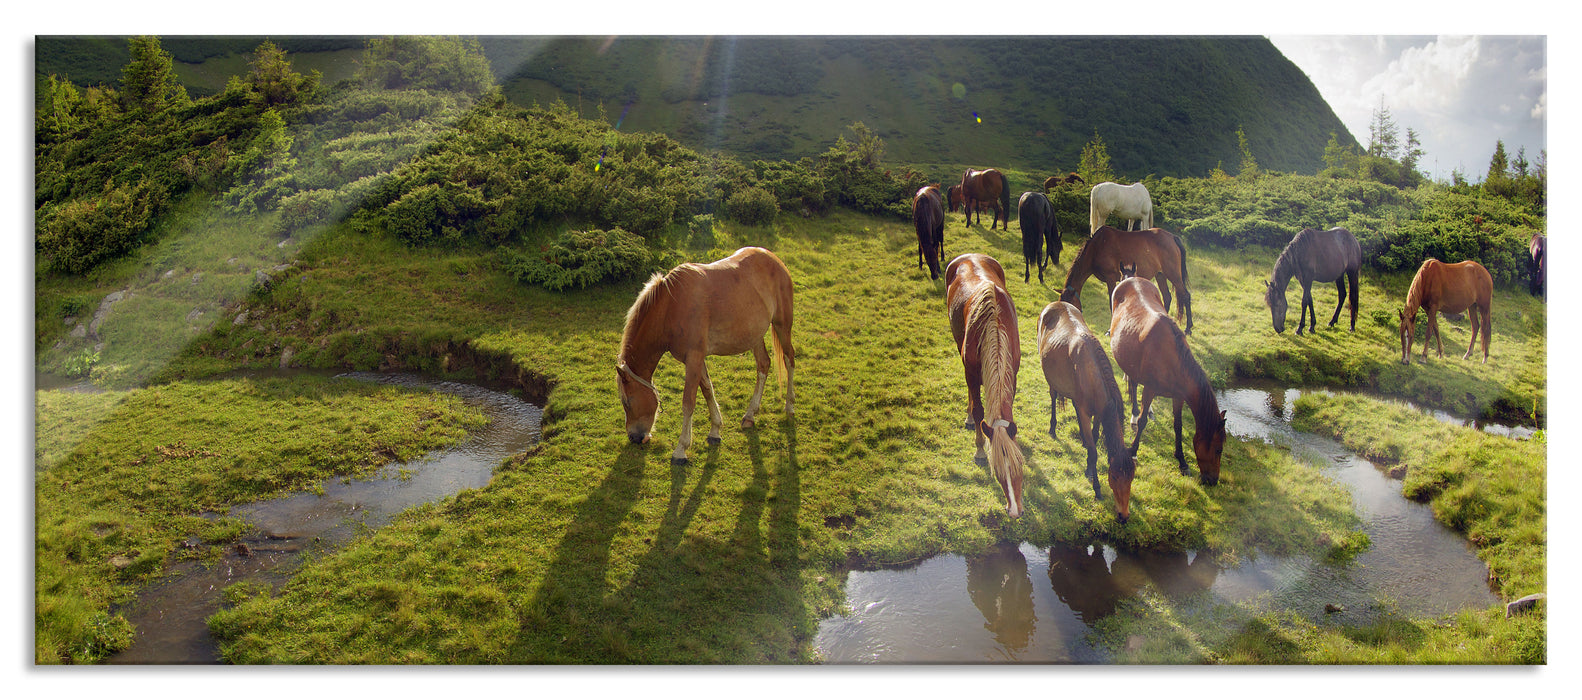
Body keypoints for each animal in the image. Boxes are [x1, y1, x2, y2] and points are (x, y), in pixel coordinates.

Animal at [613, 245, 797, 465]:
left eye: (627, 401)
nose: (634, 437)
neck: (671, 307)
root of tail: (774, 259)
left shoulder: (693, 358)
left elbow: (688, 402)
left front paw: (681, 450)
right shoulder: (696, 359)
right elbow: (708, 390)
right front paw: (715, 430)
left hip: (782, 325)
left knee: (789, 359)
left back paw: (789, 407)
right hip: (755, 335)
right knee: (764, 364)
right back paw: (750, 415)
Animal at [942, 254, 1031, 516]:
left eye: (1019, 466)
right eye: (998, 473)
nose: (1014, 511)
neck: (995, 324)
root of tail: (970, 256)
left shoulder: (1013, 374)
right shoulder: (971, 373)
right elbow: (980, 409)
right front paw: (980, 449)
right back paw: (970, 418)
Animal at [1037, 299, 1139, 519]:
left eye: (1132, 478)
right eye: (1114, 477)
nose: (1124, 516)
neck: (1092, 373)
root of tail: (1056, 302)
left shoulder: (1099, 410)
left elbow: (1095, 433)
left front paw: (1089, 464)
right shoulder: (1085, 412)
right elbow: (1093, 451)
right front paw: (1096, 486)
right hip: (1051, 381)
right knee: (1053, 397)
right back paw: (1053, 427)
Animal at [1056, 224, 1189, 334]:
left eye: (1071, 306)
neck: (1097, 247)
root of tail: (1172, 237)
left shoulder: (1110, 279)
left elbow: (1112, 304)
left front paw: (1110, 330)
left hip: (1173, 275)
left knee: (1185, 295)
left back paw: (1188, 328)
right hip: (1160, 275)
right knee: (1167, 297)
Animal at [1107, 273, 1227, 487]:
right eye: (1218, 449)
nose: (1213, 480)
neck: (1172, 359)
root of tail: (1131, 277)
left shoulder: (1178, 396)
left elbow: (1178, 426)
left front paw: (1182, 461)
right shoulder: (1150, 389)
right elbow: (1143, 421)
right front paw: (1133, 450)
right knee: (1134, 385)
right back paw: (1134, 413)